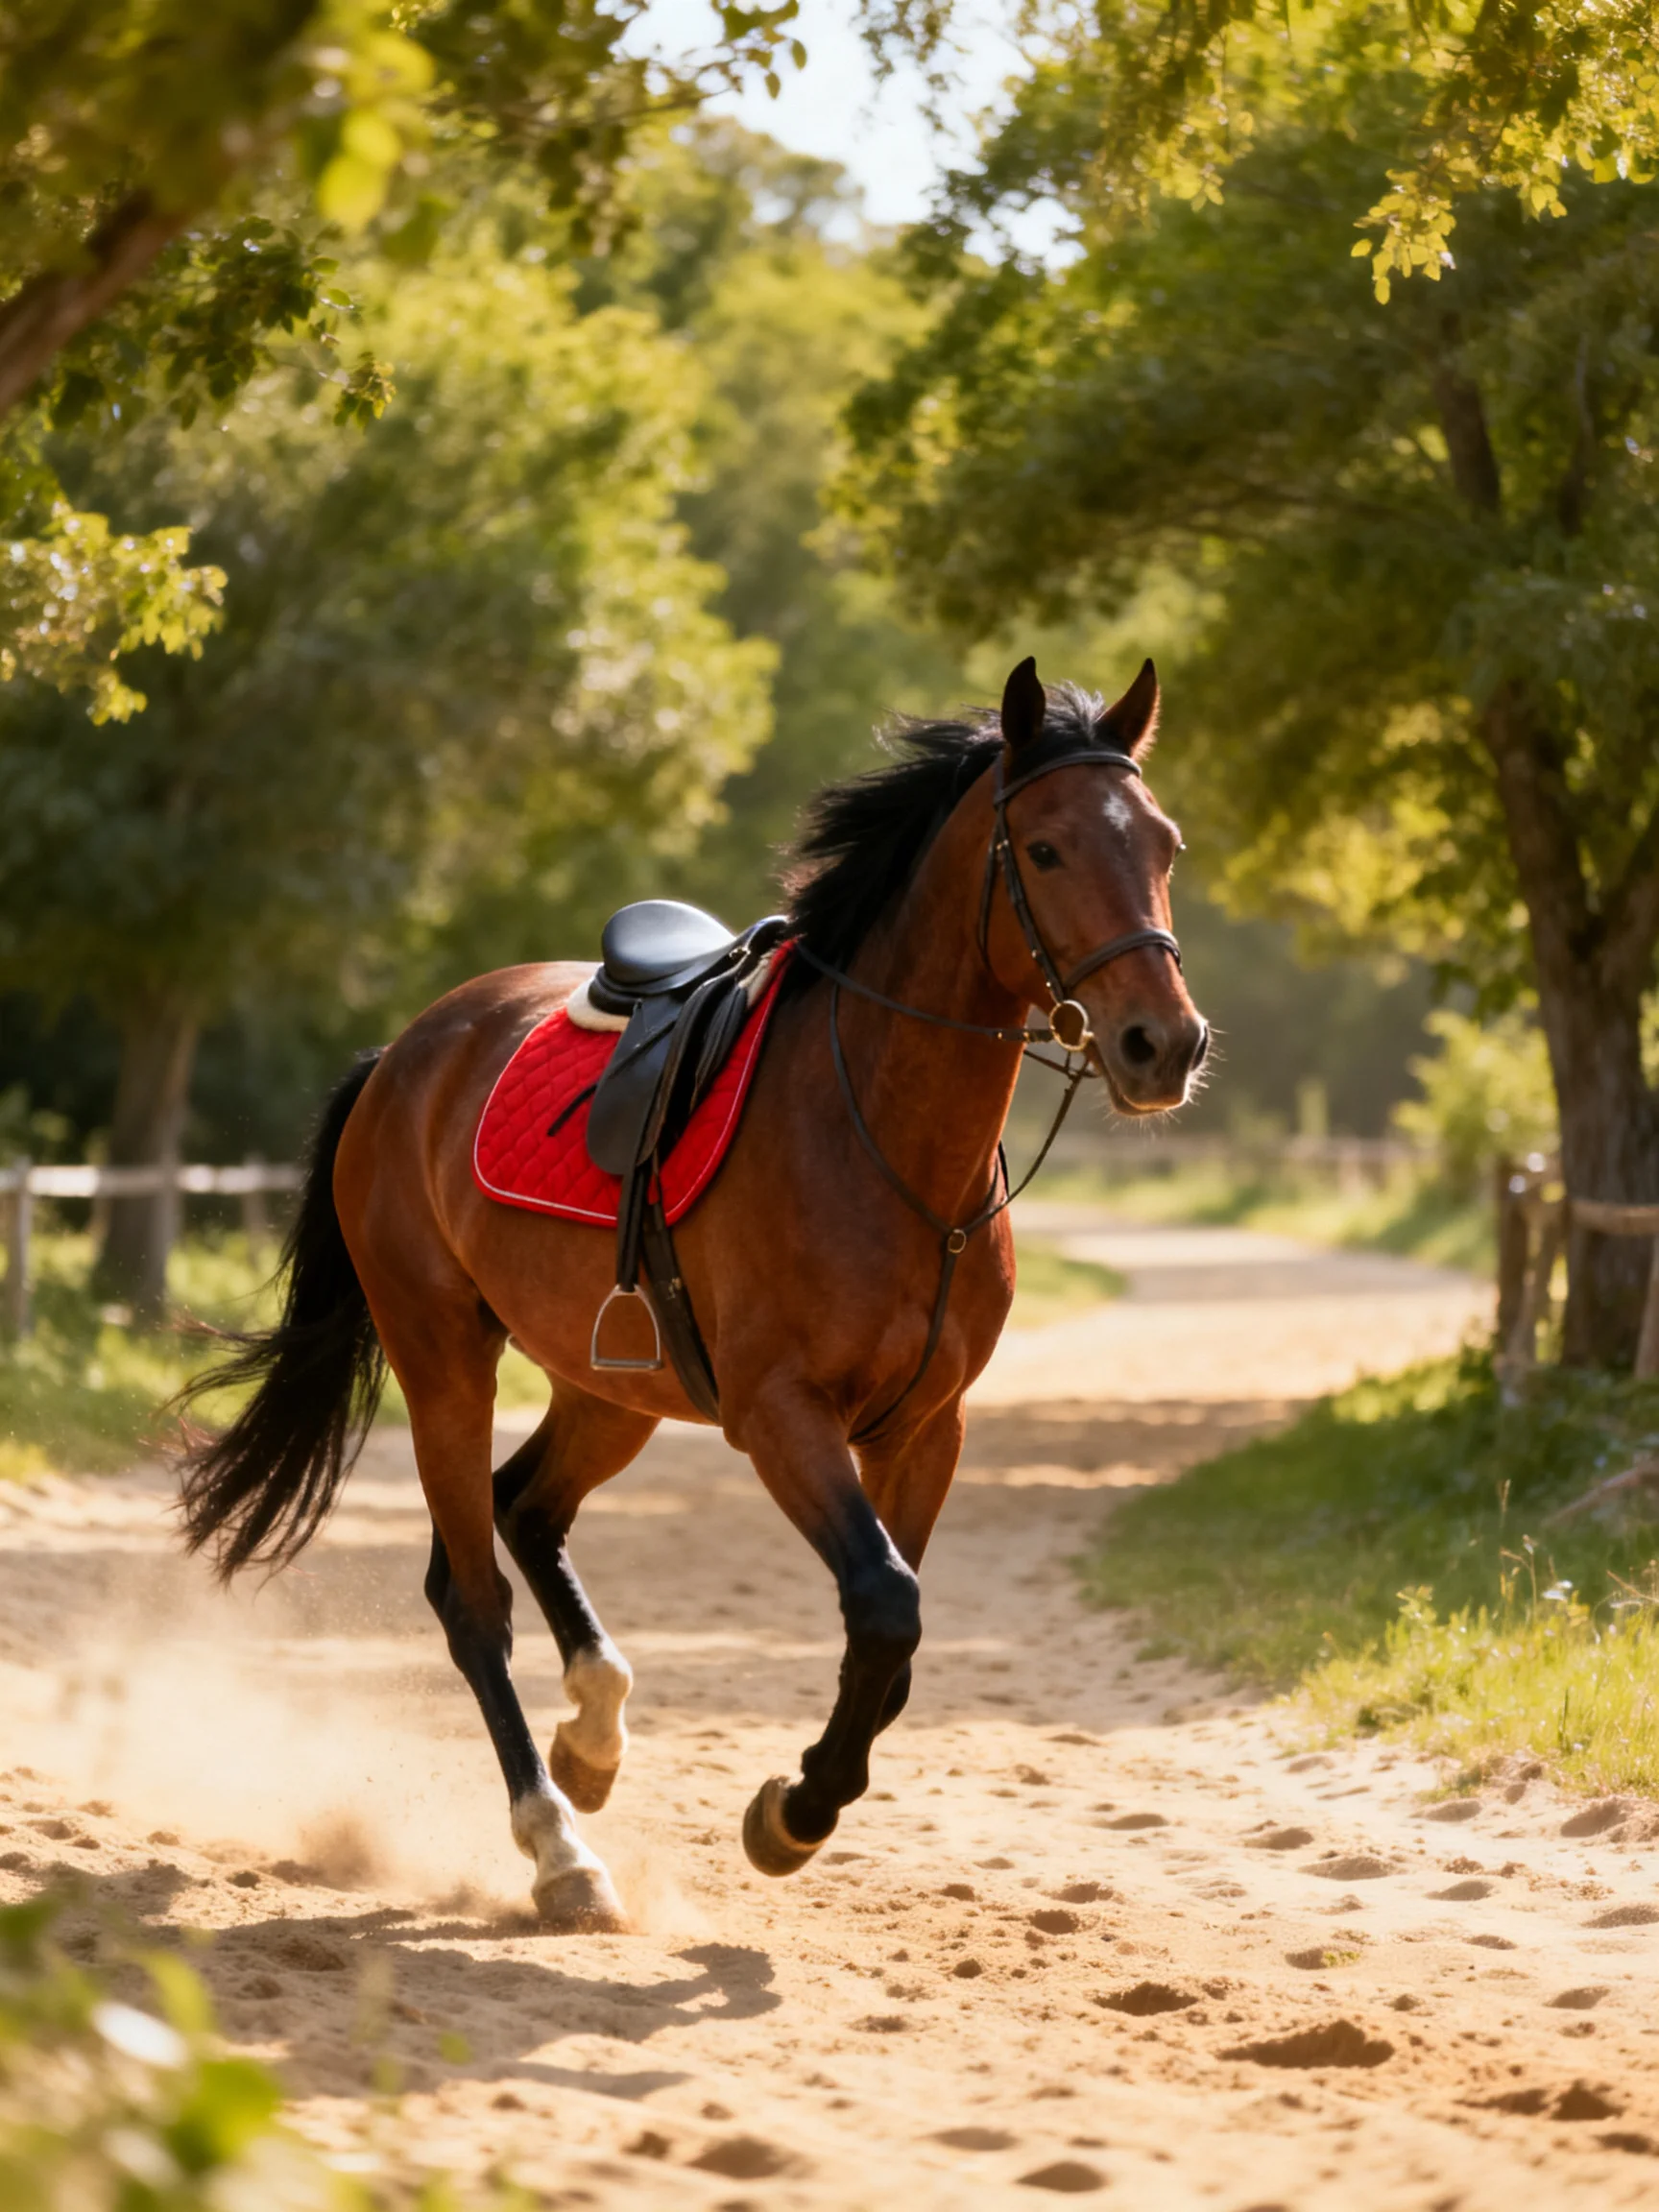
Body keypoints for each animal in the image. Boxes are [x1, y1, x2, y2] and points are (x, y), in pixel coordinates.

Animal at [179, 657, 1208, 1931]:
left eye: (1164, 843)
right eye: (1051, 849)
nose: (1164, 1044)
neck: (883, 1140)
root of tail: (408, 1051)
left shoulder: (927, 1430)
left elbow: (896, 1640)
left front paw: (793, 1795)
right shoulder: (782, 1418)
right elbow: (885, 1604)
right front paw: (793, 1814)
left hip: (610, 1384)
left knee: (528, 1508)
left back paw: (593, 1739)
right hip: (444, 1358)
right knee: (471, 1596)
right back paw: (561, 1850)